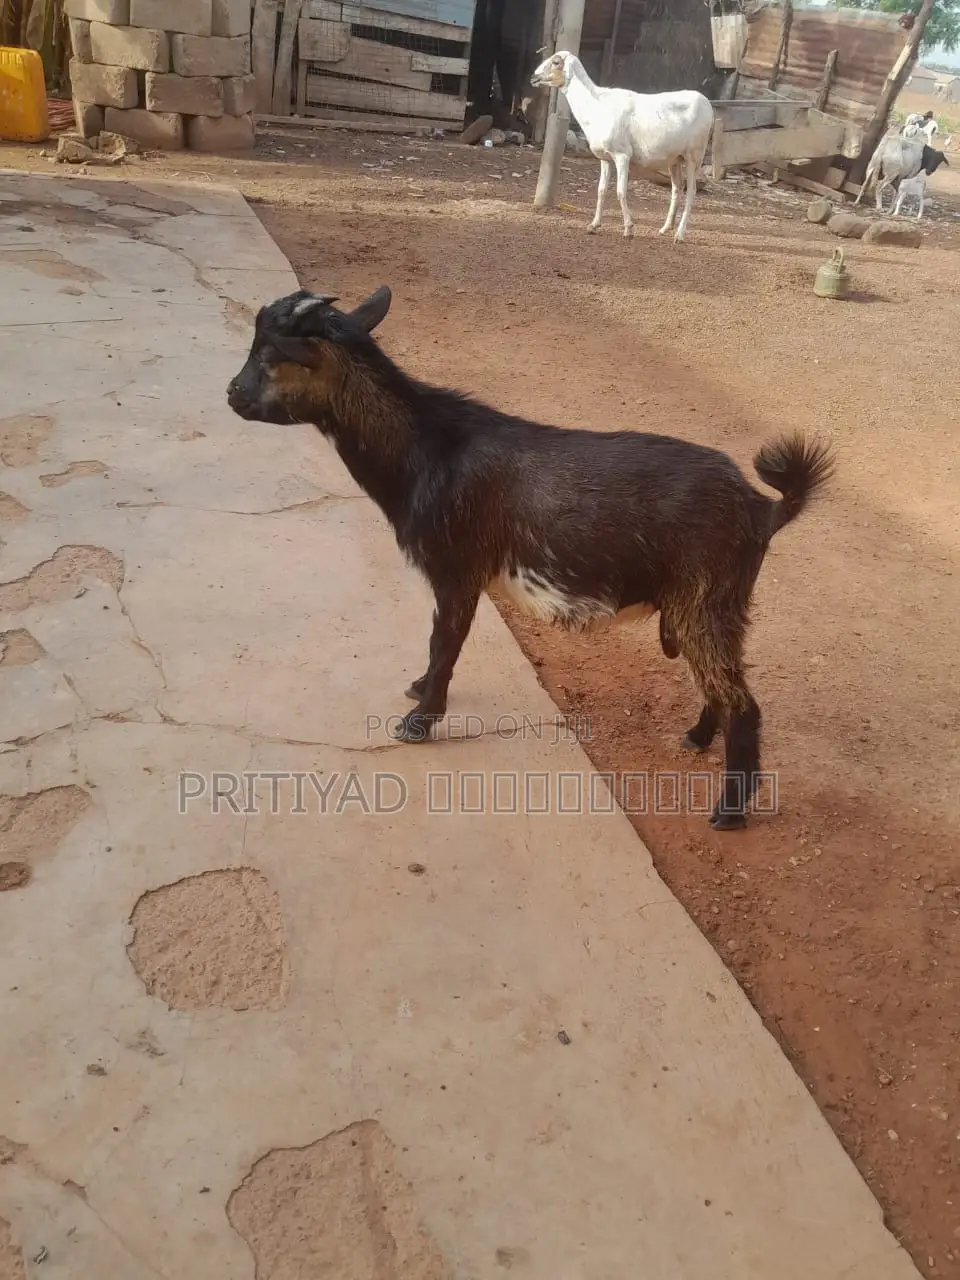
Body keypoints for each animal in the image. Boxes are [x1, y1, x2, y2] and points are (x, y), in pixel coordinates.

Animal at [226, 288, 834, 830]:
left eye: (270, 356)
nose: (231, 394)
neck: (427, 451)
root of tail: (763, 508)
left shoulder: (457, 569)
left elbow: (444, 644)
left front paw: (419, 721)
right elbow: (438, 645)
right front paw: (419, 690)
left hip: (707, 599)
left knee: (743, 703)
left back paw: (730, 811)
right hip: (709, 607)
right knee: (721, 684)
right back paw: (697, 737)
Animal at [529, 49, 714, 243]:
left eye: (556, 62)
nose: (533, 77)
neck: (595, 105)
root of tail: (707, 104)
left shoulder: (622, 155)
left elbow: (620, 191)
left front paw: (628, 228)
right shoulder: (605, 158)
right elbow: (601, 190)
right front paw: (594, 225)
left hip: (695, 155)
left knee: (691, 191)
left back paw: (679, 234)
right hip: (674, 158)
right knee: (677, 188)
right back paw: (665, 228)